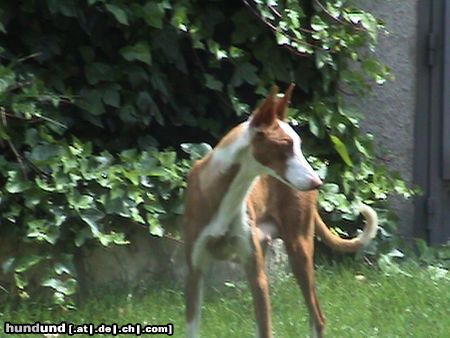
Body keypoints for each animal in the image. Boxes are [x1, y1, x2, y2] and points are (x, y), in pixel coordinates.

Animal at [183, 84, 376, 338]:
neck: (226, 193)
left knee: (318, 317)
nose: (317, 183)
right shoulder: (194, 271)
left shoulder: (257, 276)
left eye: (299, 145)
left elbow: (266, 329)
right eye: (285, 145)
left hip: (299, 250)